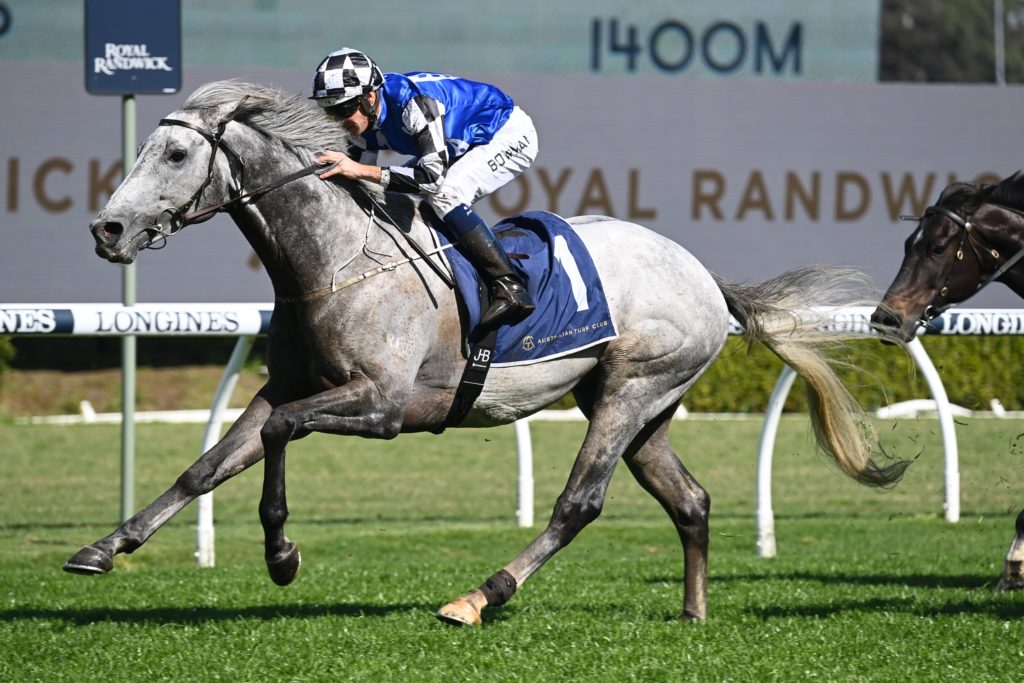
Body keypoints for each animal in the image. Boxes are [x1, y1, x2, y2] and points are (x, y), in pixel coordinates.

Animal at [70, 79, 908, 625]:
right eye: (148, 147)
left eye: (175, 155)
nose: (107, 229)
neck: (335, 258)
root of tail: (704, 276)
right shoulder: (287, 384)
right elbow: (208, 463)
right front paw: (106, 546)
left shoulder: (381, 404)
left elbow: (278, 436)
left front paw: (282, 553)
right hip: (641, 405)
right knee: (690, 500)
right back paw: (694, 613)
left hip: (634, 389)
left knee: (578, 503)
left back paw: (480, 595)